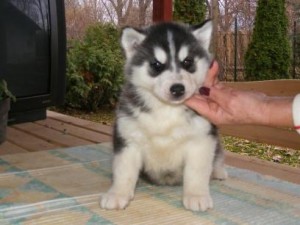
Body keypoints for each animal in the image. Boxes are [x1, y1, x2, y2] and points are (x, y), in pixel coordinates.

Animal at [99, 20, 226, 212]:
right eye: (157, 65)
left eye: (187, 61)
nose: (178, 88)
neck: (167, 110)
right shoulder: (128, 137)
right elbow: (124, 170)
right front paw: (118, 193)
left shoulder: (202, 139)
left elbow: (197, 171)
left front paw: (196, 195)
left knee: (217, 156)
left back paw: (218, 171)